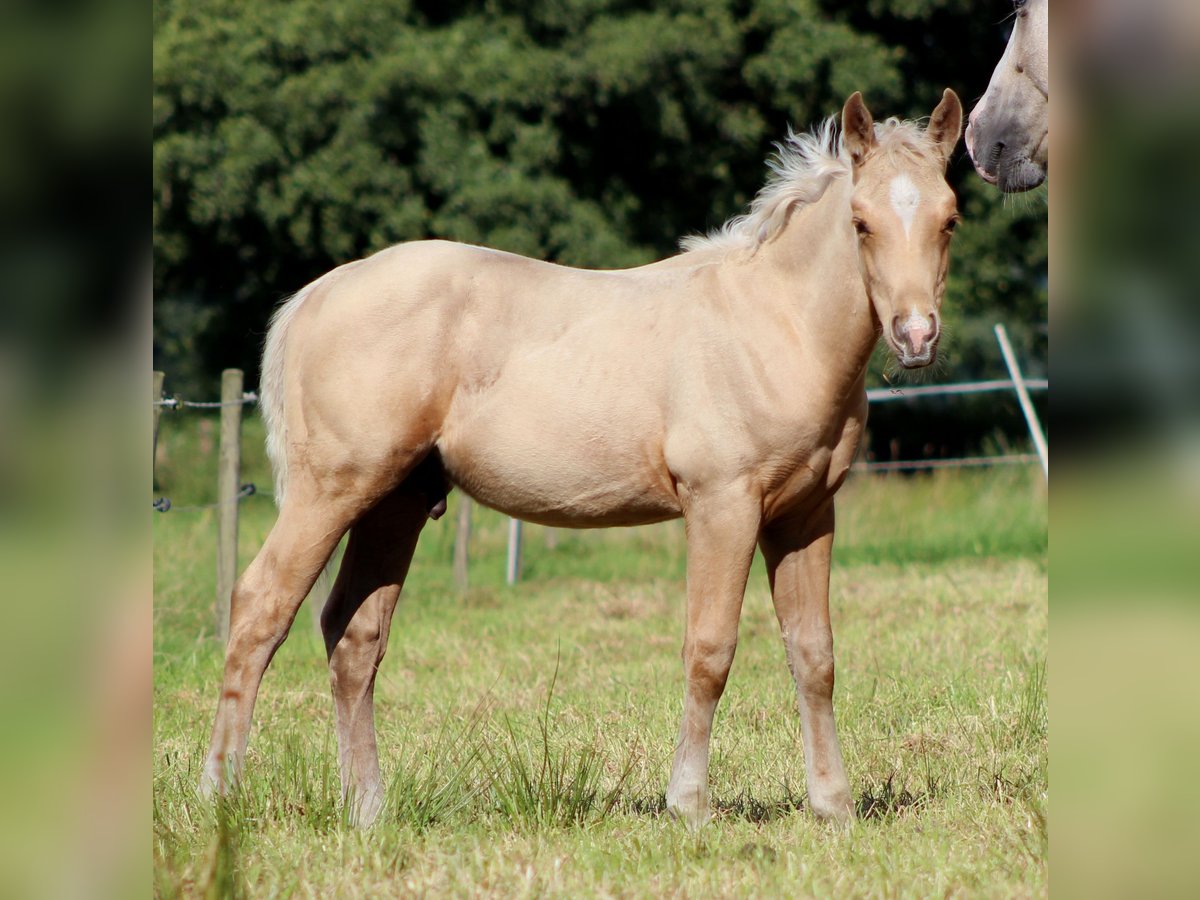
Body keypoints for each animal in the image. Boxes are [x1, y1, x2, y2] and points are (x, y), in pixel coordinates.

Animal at [199, 89, 964, 828]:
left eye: (949, 220)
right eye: (861, 223)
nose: (915, 337)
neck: (773, 324)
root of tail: (315, 295)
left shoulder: (805, 514)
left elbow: (813, 655)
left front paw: (833, 807)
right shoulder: (723, 505)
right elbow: (710, 651)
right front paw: (689, 806)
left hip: (396, 503)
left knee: (354, 638)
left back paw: (367, 810)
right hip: (330, 491)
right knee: (260, 609)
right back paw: (219, 796)